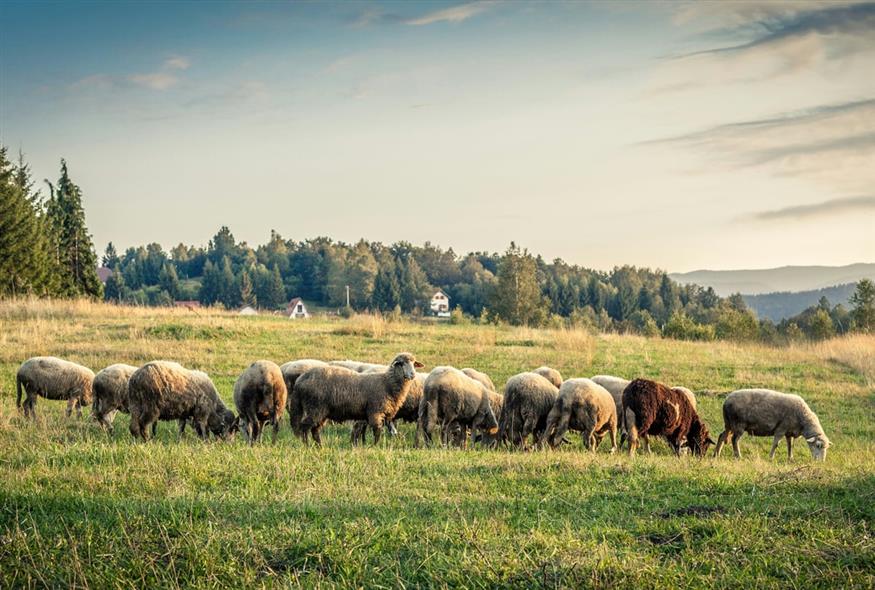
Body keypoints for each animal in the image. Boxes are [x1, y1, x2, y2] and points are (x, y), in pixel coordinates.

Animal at [292, 354, 422, 446]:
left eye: (414, 363)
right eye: (402, 364)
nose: (413, 374)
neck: (387, 383)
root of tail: (300, 379)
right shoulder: (375, 412)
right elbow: (377, 432)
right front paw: (375, 446)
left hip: (320, 411)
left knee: (315, 430)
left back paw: (320, 446)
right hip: (315, 407)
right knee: (305, 427)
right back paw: (307, 445)